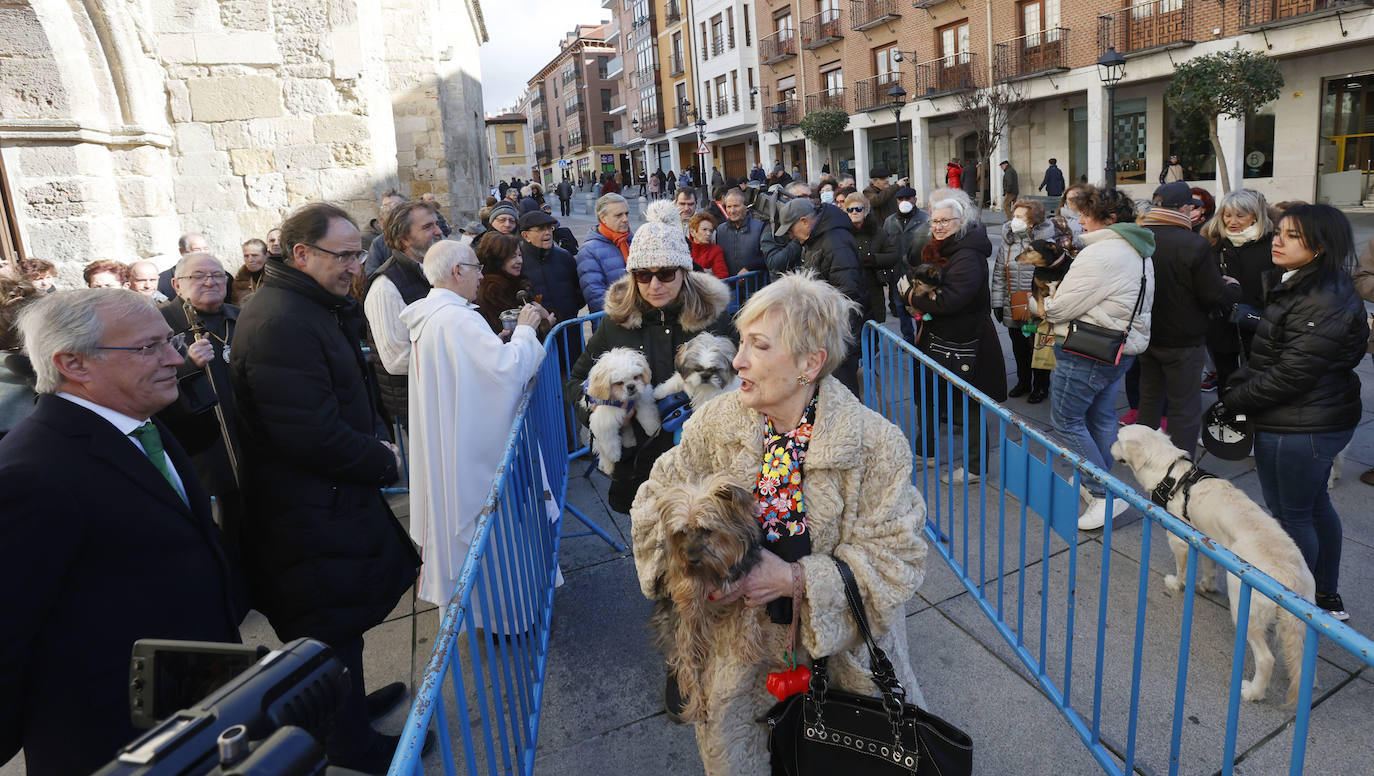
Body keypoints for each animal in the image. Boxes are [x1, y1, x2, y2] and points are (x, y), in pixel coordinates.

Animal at [579, 347, 659, 475]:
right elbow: (610, 442)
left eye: (636, 377)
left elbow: (647, 416)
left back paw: (630, 442)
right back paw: (608, 464)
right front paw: (614, 456)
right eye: (619, 383)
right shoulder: (604, 423)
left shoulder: (643, 400)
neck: (623, 400)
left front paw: (653, 430)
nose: (631, 386)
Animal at [1110, 420, 1313, 703]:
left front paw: (1176, 584)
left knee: (1266, 659)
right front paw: (1207, 585)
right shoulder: (1206, 539)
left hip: (1244, 609)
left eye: (1119, 438)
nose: (1109, 445)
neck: (1173, 476)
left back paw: (1252, 691)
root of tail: (1290, 580)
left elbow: (1182, 569)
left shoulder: (1179, 539)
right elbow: (1208, 567)